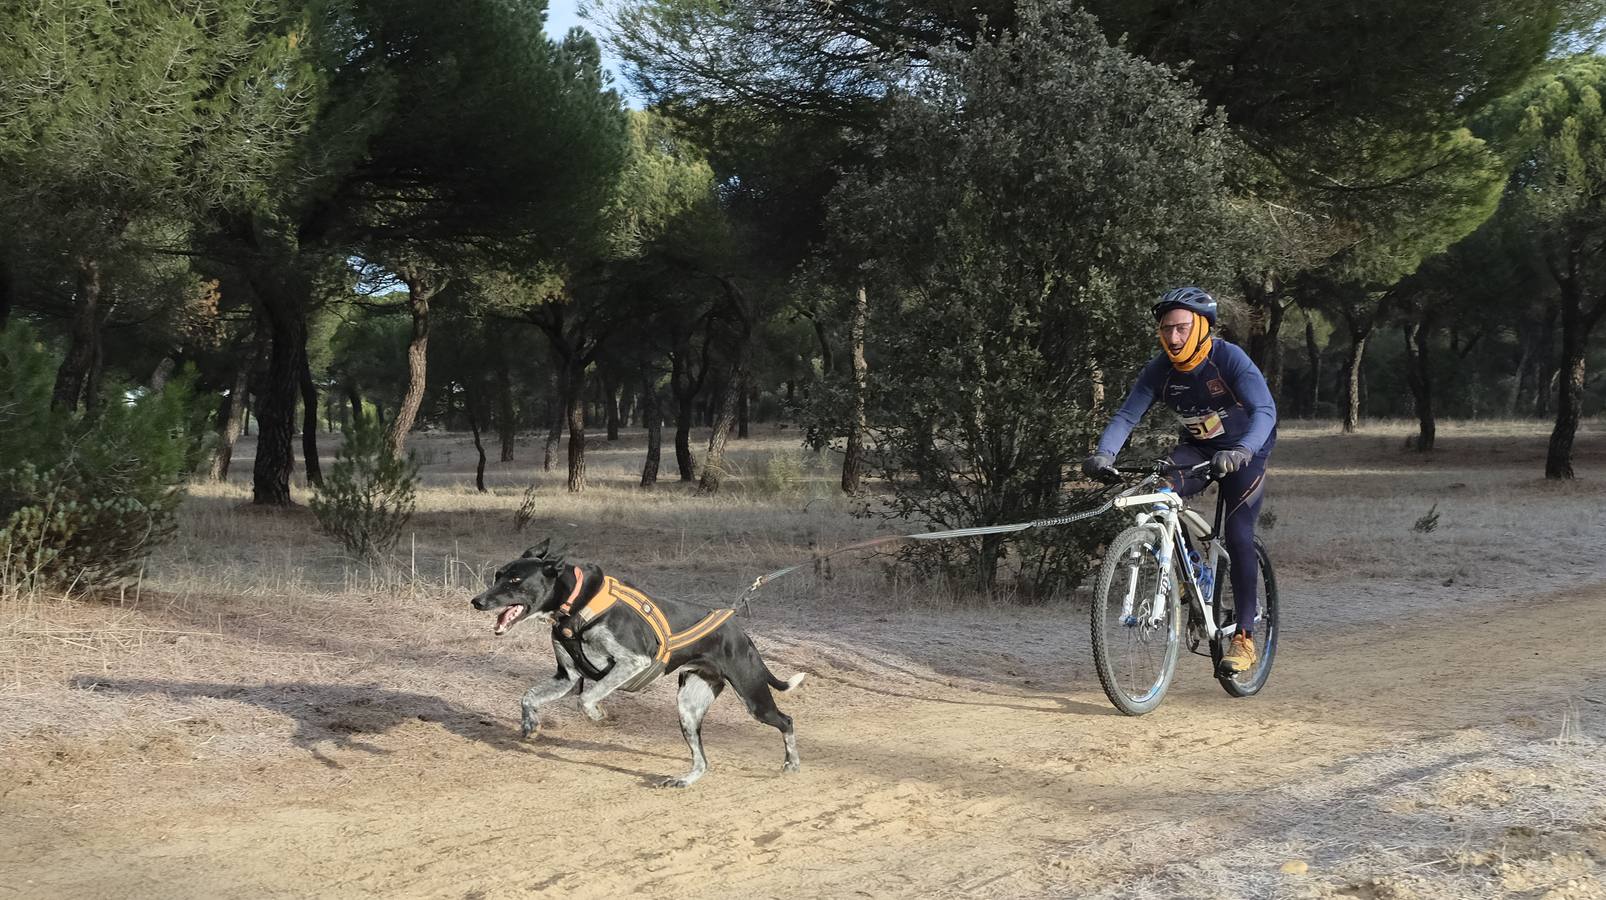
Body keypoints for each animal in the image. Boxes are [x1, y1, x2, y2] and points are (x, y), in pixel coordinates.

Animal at [472, 540, 803, 787]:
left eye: (516, 580)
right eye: (498, 575)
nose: (476, 601)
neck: (577, 605)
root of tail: (739, 630)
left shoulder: (633, 661)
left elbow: (586, 698)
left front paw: (598, 714)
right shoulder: (566, 676)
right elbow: (528, 696)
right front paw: (530, 724)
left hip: (753, 699)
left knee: (786, 721)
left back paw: (792, 763)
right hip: (688, 707)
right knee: (703, 760)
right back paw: (684, 780)